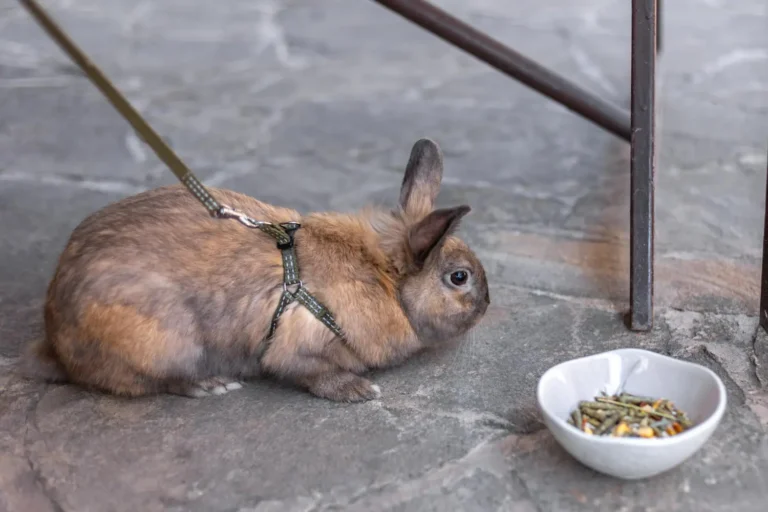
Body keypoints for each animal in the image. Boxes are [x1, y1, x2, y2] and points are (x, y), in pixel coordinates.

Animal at [22, 138, 490, 402]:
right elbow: (311, 373)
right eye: (459, 277)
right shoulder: (297, 346)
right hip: (165, 342)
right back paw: (209, 386)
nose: (487, 306)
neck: (383, 277)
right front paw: (358, 391)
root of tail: (56, 339)